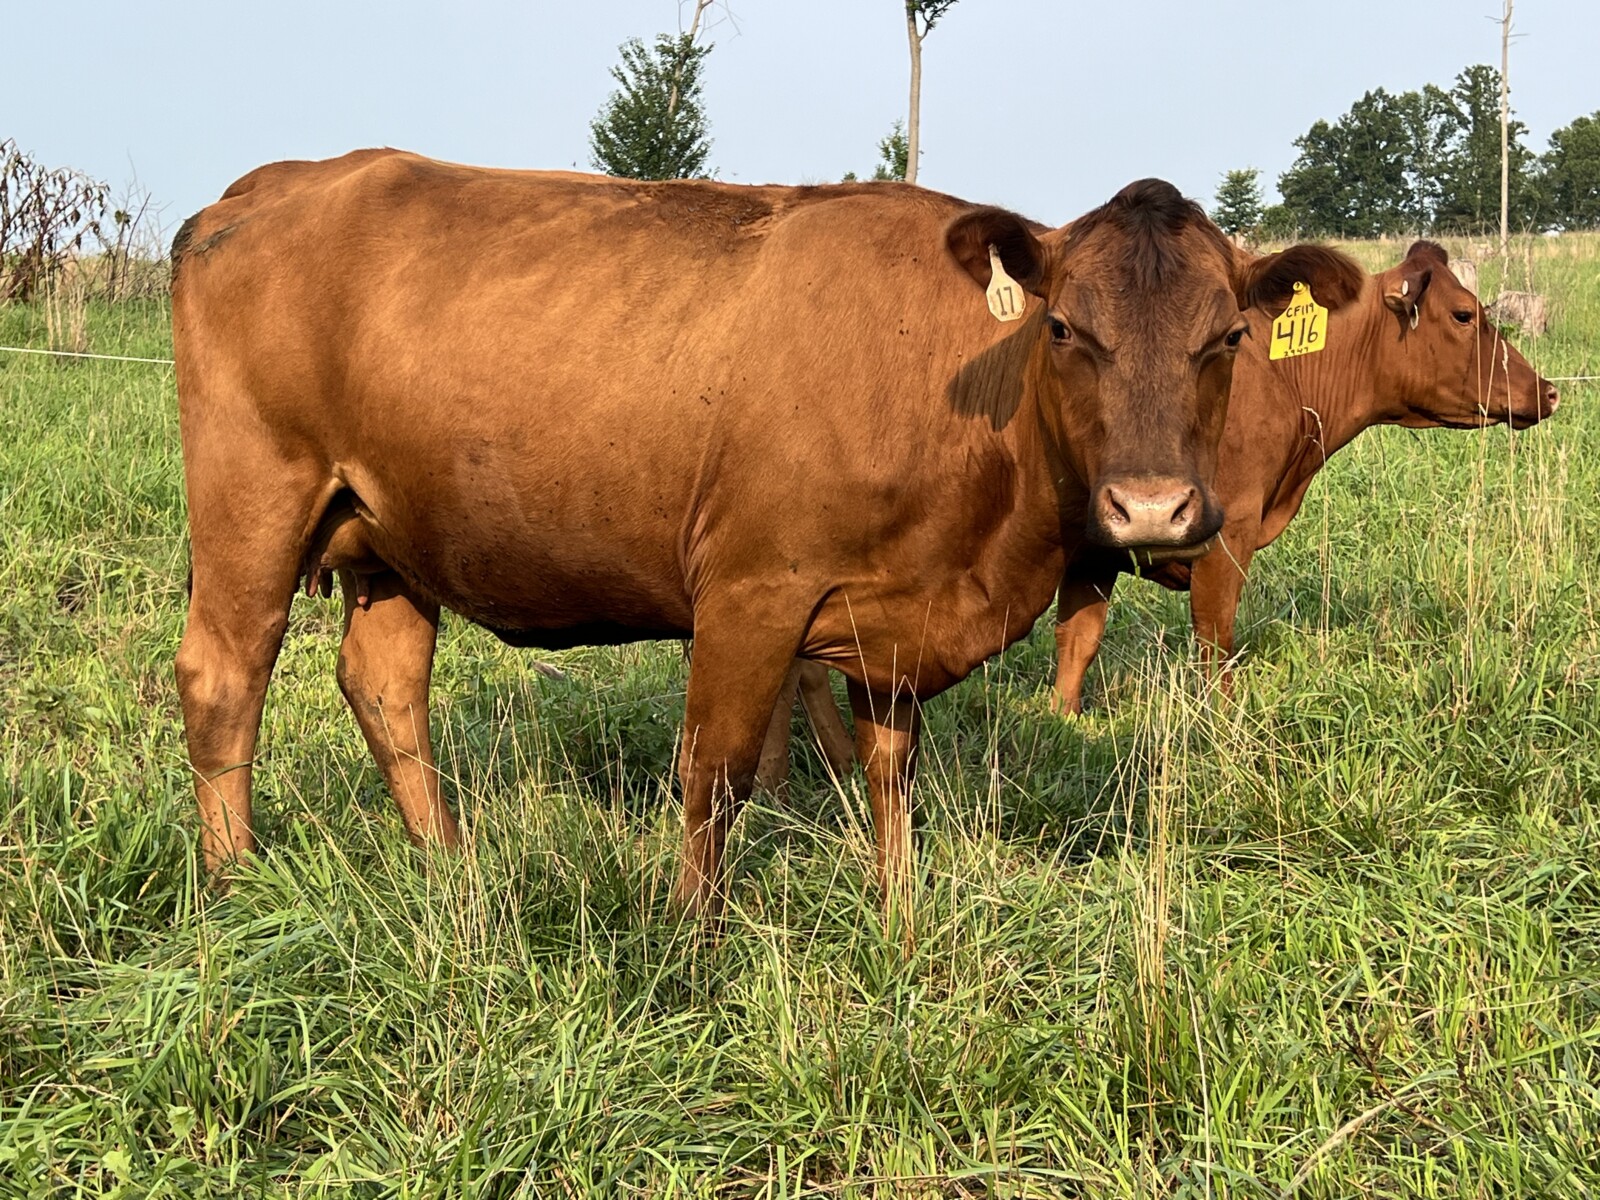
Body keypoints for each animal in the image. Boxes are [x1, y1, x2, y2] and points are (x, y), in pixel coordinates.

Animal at [170, 149, 1358, 916]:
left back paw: (448, 866)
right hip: (254, 500)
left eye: (1227, 336)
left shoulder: (890, 616)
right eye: (1065, 327)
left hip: (390, 535)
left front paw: (898, 910)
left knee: (384, 687)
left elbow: (890, 770)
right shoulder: (749, 593)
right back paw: (234, 884)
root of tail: (266, 185)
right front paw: (688, 942)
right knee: (224, 677)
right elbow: (715, 774)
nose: (1152, 508)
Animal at [1049, 239, 1560, 714]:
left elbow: (1077, 643)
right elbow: (1214, 640)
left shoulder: (1094, 549)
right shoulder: (1227, 534)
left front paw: (1063, 721)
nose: (1548, 391)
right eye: (1463, 315)